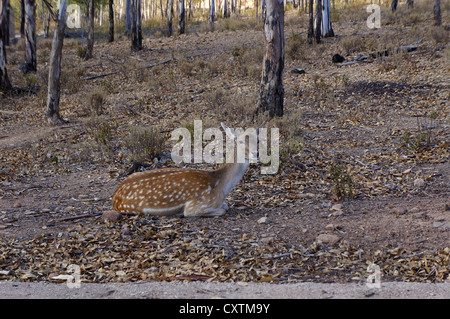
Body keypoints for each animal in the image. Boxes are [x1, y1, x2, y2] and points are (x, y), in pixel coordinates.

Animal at [112, 122, 258, 218]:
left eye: (257, 140)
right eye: (240, 141)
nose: (256, 153)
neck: (220, 187)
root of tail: (115, 198)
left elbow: (225, 206)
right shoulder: (195, 206)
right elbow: (222, 211)